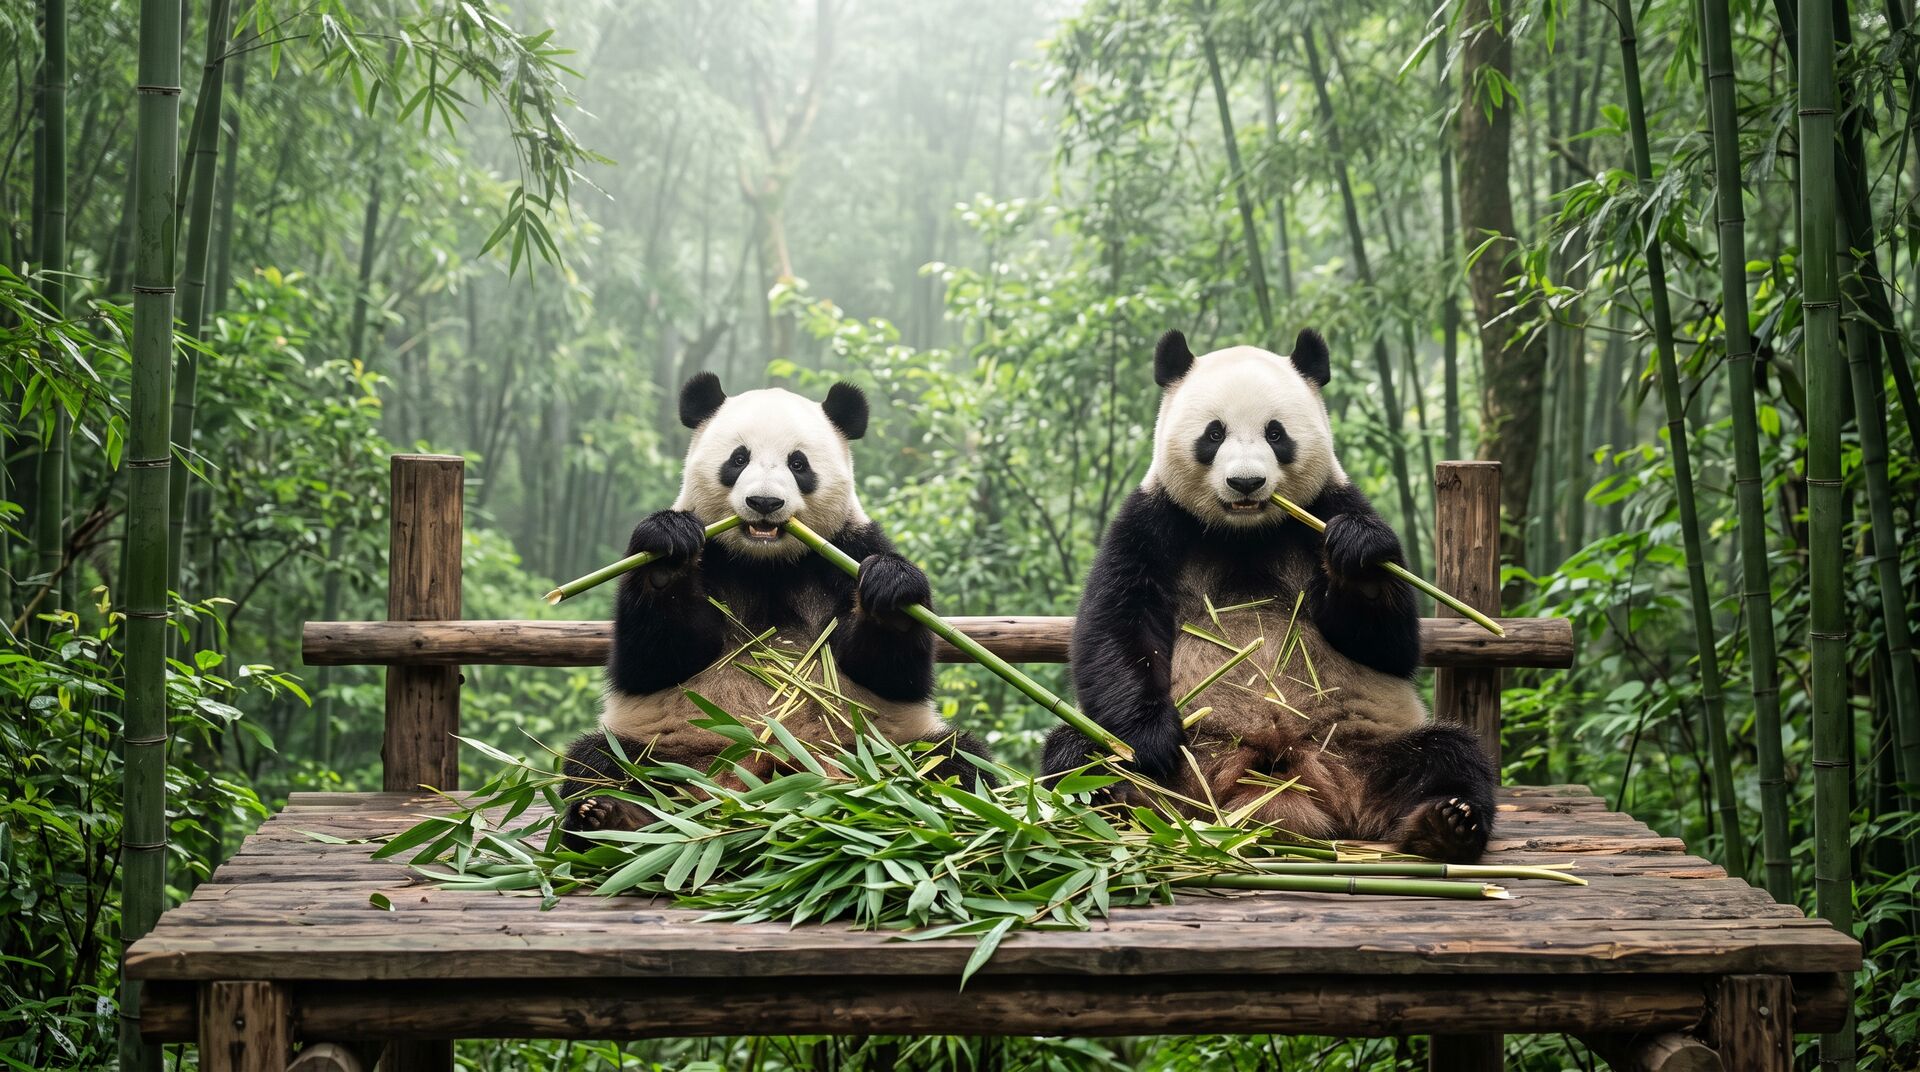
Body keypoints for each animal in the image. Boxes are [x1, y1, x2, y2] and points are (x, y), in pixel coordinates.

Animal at [561, 373, 991, 841]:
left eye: (798, 464)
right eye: (738, 458)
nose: (764, 503)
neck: (767, 563)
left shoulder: (848, 548)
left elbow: (894, 674)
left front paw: (890, 591)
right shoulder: (712, 556)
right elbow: (651, 660)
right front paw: (668, 556)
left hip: (877, 748)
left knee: (954, 763)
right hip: (668, 747)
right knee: (598, 762)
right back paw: (611, 815)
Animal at [1041, 329, 1496, 862]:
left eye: (1276, 434)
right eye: (1213, 434)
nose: (1246, 482)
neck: (1245, 532)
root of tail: (1279, 784)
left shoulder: (1327, 505)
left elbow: (1391, 646)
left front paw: (1357, 555)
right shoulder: (1153, 521)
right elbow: (1117, 626)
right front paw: (1151, 740)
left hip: (1359, 744)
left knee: (1450, 754)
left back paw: (1446, 823)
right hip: (1190, 760)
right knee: (1080, 757)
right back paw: (1109, 808)